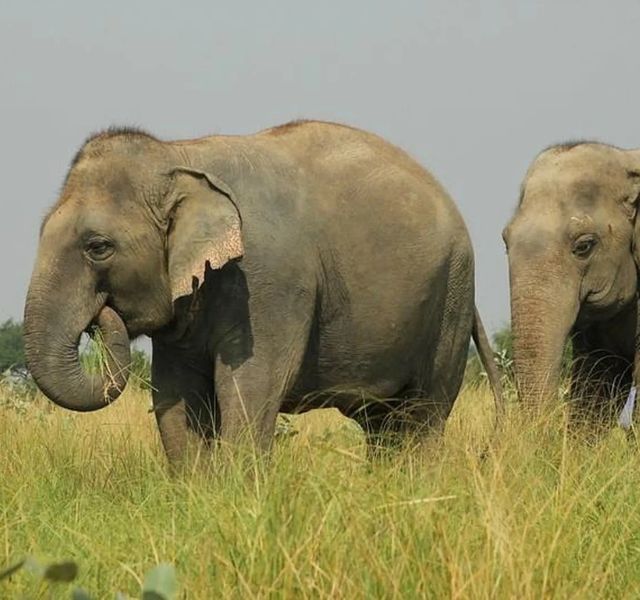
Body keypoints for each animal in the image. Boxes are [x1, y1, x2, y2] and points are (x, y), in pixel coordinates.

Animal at [24, 119, 502, 467]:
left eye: (98, 247)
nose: (101, 316)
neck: (179, 155)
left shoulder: (268, 283)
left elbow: (249, 388)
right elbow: (176, 400)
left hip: (452, 294)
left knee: (423, 416)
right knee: (382, 425)